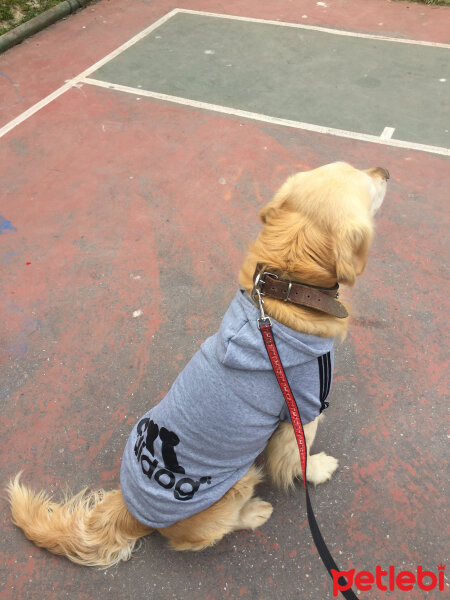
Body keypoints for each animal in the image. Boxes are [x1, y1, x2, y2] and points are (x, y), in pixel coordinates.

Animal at [7, 161, 388, 568]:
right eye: (363, 177)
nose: (385, 170)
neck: (284, 289)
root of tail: (131, 510)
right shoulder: (303, 410)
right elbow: (297, 460)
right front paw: (317, 470)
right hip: (237, 482)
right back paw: (254, 512)